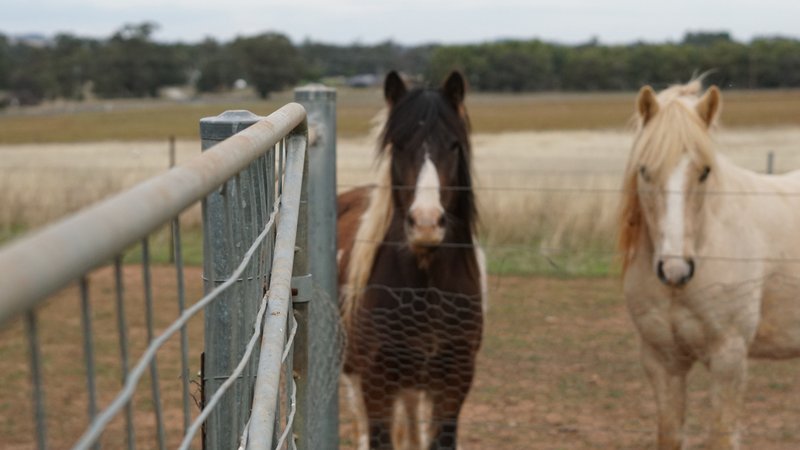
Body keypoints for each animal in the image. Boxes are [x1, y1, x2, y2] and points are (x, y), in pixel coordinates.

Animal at [620, 79, 800, 448]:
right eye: (644, 170)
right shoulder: (663, 361)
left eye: (704, 172)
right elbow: (670, 435)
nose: (675, 270)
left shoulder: (728, 357)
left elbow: (721, 436)